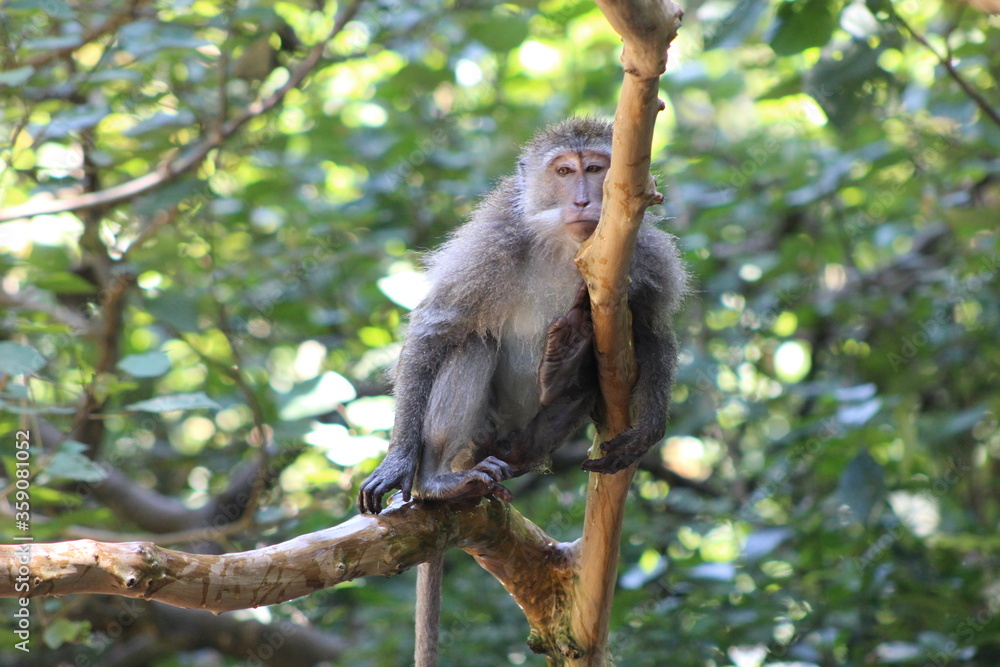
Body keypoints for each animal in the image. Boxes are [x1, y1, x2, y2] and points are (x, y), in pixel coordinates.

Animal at [357, 117, 687, 665]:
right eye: (564, 171)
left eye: (596, 169)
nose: (583, 200)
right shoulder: (493, 240)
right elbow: (436, 327)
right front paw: (397, 461)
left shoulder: (646, 253)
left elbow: (655, 333)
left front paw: (649, 428)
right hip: (479, 434)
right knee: (473, 342)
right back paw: (438, 481)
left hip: (523, 441)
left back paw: (565, 364)